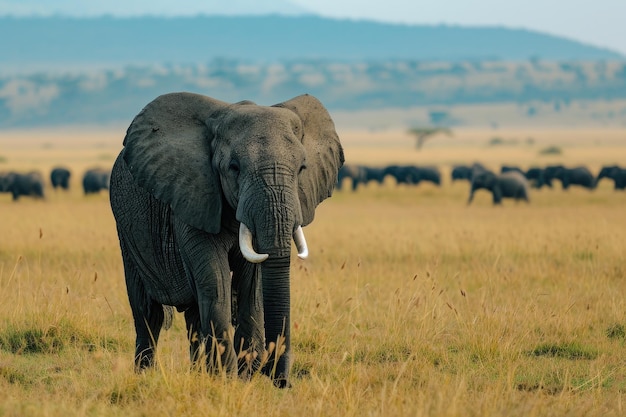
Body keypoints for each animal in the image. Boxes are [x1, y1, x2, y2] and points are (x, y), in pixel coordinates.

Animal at [107, 91, 342, 386]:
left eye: (301, 168)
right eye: (234, 167)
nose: (281, 382)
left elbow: (252, 284)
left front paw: (242, 375)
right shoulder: (193, 196)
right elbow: (216, 280)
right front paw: (228, 377)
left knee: (193, 314)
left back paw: (198, 374)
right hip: (125, 228)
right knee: (148, 311)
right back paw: (144, 376)